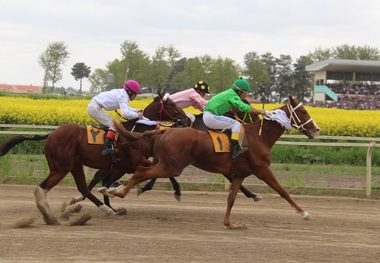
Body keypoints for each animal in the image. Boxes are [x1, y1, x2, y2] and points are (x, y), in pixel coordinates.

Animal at [0, 92, 190, 225]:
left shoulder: (121, 166)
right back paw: (52, 216)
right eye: (172, 104)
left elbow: (105, 181)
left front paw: (112, 194)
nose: (187, 120)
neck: (138, 132)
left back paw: (104, 209)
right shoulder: (135, 162)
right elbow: (162, 172)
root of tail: (51, 134)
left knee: (83, 188)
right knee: (43, 188)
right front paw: (174, 191)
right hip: (61, 167)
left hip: (74, 165)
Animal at [108, 97, 320, 229]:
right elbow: (283, 191)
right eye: (303, 111)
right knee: (141, 172)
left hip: (166, 164)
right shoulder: (262, 170)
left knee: (141, 170)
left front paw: (229, 223)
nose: (317, 129)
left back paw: (113, 189)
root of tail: (164, 131)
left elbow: (231, 198)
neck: (259, 137)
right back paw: (117, 191)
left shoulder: (239, 174)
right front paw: (304, 213)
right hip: (171, 166)